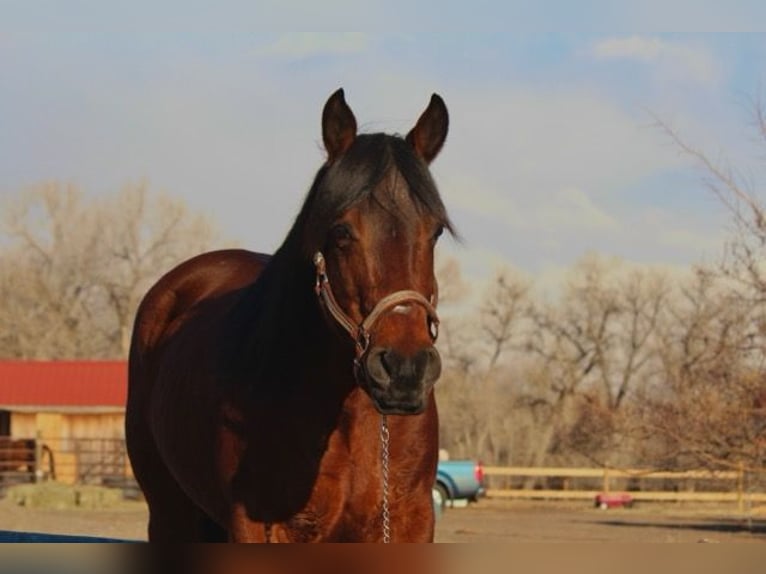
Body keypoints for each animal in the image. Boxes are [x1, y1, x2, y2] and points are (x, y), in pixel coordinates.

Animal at [123, 90, 452, 544]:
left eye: (435, 231)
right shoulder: (258, 527)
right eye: (341, 231)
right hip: (170, 514)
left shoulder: (409, 524)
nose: (405, 370)